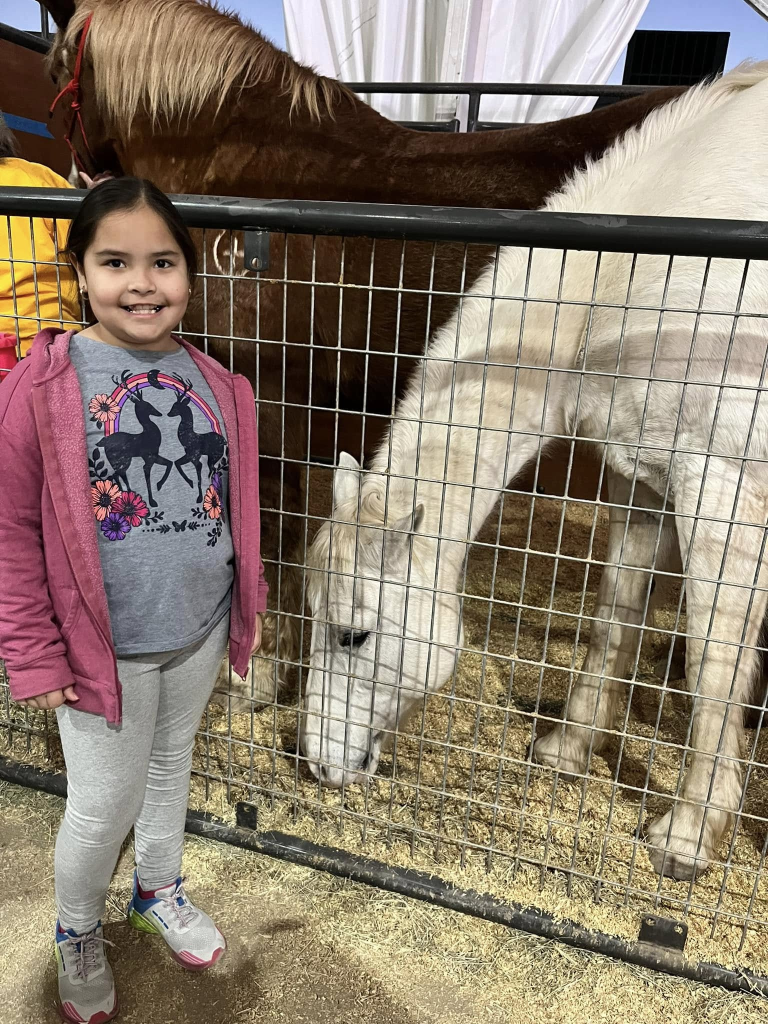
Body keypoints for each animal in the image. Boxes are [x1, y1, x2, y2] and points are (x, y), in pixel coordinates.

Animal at [304, 64, 768, 882]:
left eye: (354, 635)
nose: (321, 767)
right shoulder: (644, 481)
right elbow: (616, 614)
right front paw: (568, 748)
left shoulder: (721, 486)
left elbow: (714, 663)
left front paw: (687, 836)